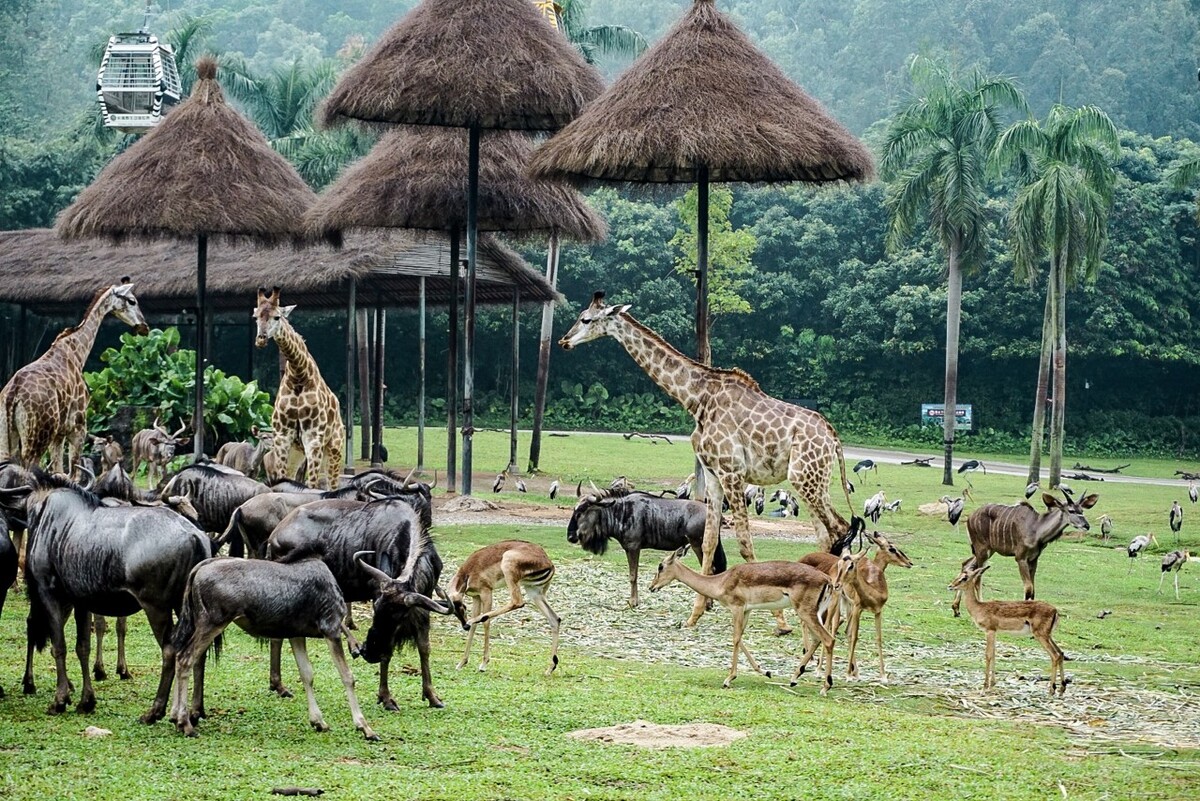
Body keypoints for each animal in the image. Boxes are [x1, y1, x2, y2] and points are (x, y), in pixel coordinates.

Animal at [0, 280, 148, 474]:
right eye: (132, 301)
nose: (144, 327)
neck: (78, 353)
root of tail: (12, 394)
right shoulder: (78, 426)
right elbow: (74, 471)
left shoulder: (59, 433)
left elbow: (59, 471)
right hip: (38, 436)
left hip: (8, 437)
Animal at [253, 287, 345, 489]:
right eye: (255, 316)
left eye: (277, 317)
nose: (261, 339)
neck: (298, 378)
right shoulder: (282, 437)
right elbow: (282, 479)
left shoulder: (314, 438)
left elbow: (312, 485)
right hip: (298, 453)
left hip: (334, 448)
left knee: (332, 484)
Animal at [556, 291, 859, 628]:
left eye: (586, 319)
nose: (563, 341)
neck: (696, 398)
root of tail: (834, 439)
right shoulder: (713, 475)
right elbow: (710, 542)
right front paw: (696, 613)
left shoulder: (732, 471)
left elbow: (744, 541)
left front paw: (779, 621)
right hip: (812, 482)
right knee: (828, 532)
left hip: (806, 479)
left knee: (837, 529)